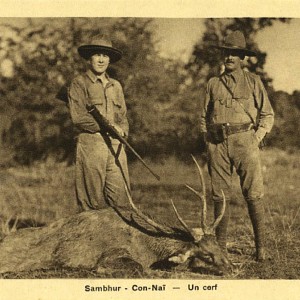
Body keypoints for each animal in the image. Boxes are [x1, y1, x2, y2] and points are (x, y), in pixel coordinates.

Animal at [0, 157, 232, 276]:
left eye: (219, 246)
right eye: (207, 254)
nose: (230, 267)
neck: (149, 247)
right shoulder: (111, 254)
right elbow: (136, 267)